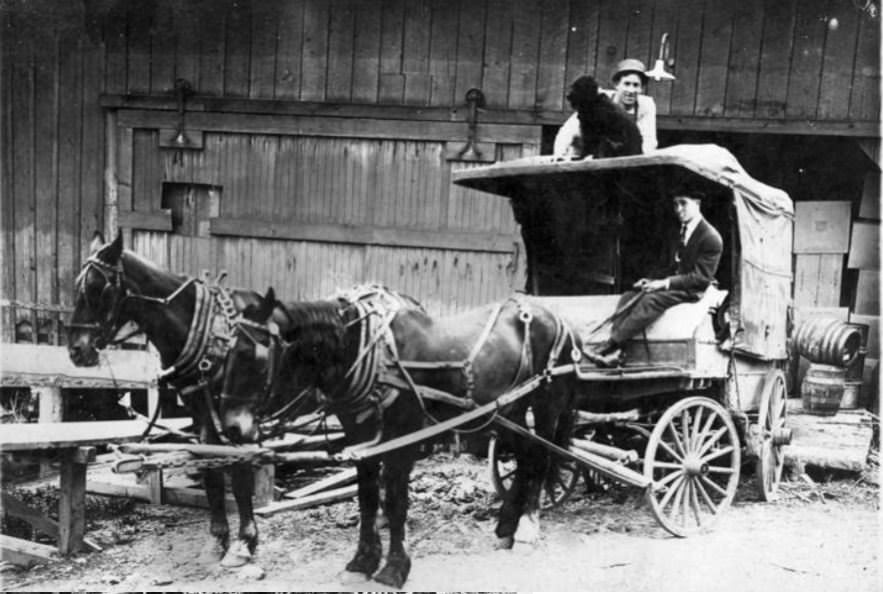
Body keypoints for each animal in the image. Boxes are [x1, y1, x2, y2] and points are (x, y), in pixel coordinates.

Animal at [68, 230, 286, 564]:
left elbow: (239, 472)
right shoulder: (201, 411)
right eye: (78, 283)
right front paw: (217, 540)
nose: (76, 351)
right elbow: (210, 467)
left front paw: (244, 541)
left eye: (97, 287)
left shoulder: (238, 418)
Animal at [220, 284, 580, 584]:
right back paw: (506, 526)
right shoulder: (361, 439)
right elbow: (366, 498)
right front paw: (362, 562)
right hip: (509, 411)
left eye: (255, 357)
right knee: (526, 457)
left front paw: (394, 568)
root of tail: (556, 317)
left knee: (541, 458)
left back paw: (527, 529)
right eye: (228, 352)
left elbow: (395, 501)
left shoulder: (402, 439)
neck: (372, 353)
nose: (232, 427)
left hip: (546, 405)